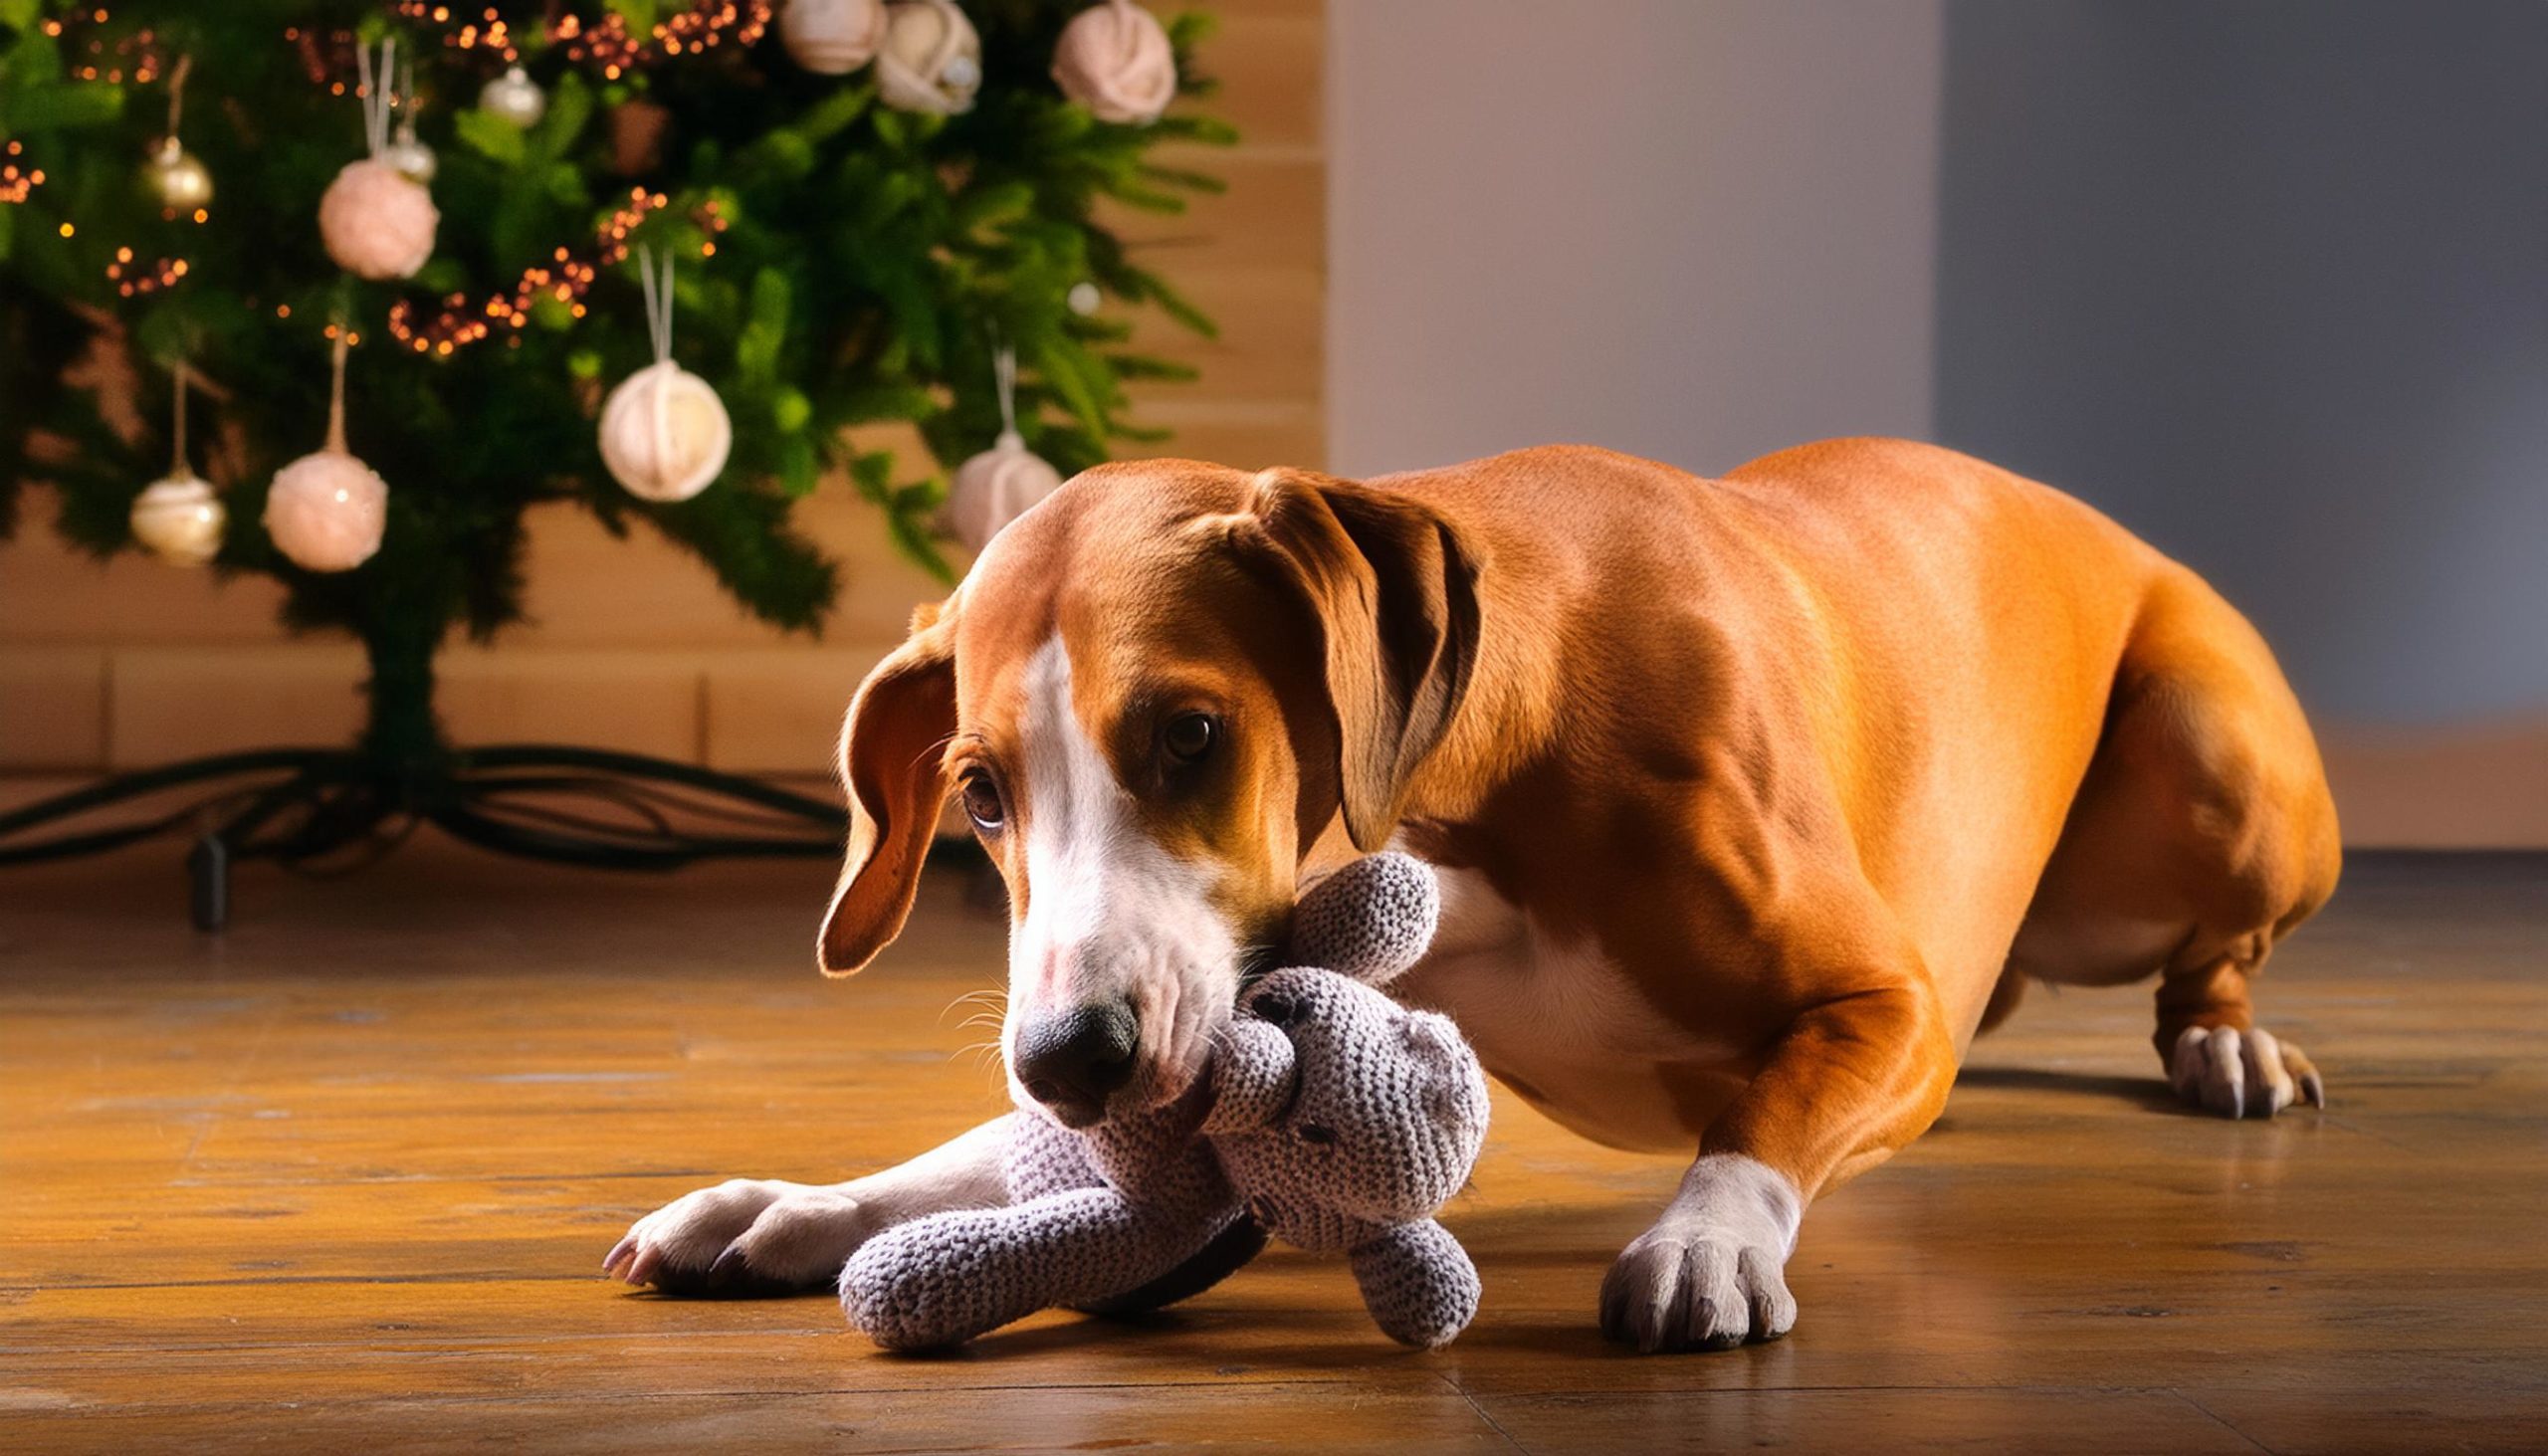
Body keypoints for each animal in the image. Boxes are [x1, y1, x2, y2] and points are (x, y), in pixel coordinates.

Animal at [606, 438, 2333, 1346]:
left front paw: (1711, 1236)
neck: (1469, 788)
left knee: (2213, 948)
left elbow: (1761, 1118)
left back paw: (2226, 1040)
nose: (1066, 1058)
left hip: (2207, 756)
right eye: (978, 794)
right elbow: (969, 1158)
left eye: (1190, 733)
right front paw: (790, 1203)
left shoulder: (1882, 998)